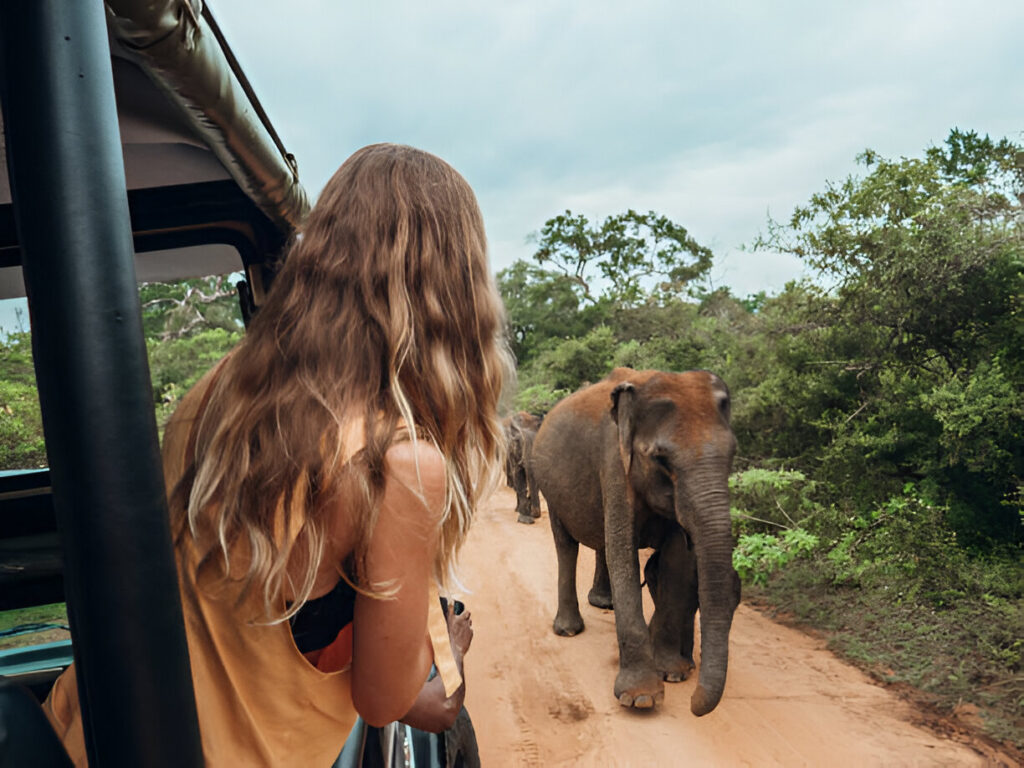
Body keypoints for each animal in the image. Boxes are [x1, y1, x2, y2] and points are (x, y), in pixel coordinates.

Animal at [532, 370, 741, 720]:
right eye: (660, 458)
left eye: (733, 454)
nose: (693, 706)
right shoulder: (614, 463)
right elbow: (623, 550)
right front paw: (641, 698)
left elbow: (676, 559)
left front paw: (673, 674)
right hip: (551, 489)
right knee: (566, 546)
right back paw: (569, 630)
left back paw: (603, 604)